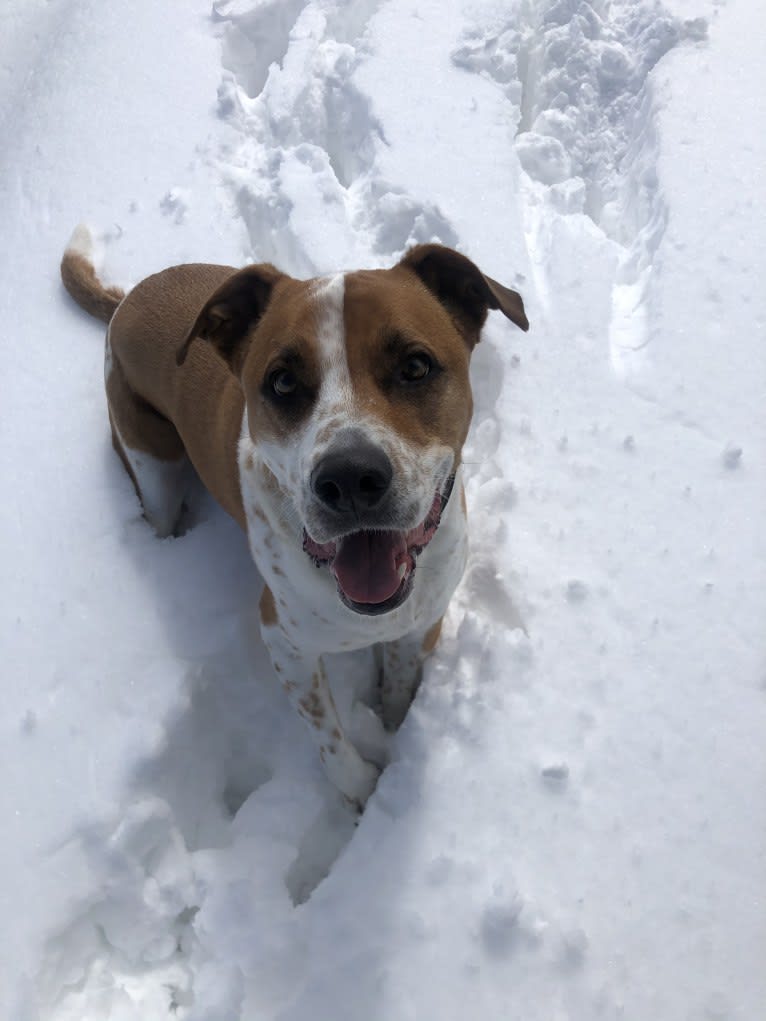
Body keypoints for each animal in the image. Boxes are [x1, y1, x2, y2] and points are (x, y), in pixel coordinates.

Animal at [61, 227, 527, 808]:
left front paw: (394, 728)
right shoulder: (283, 641)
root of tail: (127, 298)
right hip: (151, 461)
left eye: (416, 366)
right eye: (282, 382)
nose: (348, 479)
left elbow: (400, 682)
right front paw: (362, 792)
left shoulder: (424, 619)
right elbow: (326, 732)